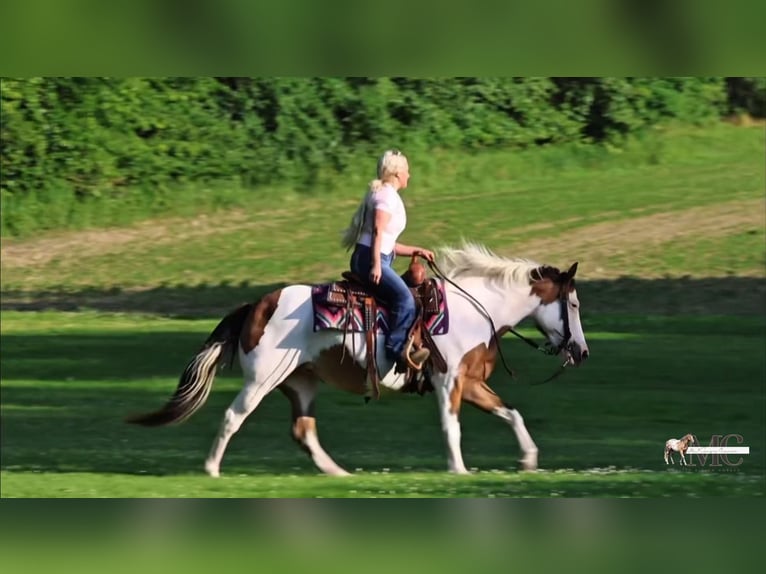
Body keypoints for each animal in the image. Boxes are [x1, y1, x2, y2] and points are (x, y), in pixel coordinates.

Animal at [127, 243, 589, 476]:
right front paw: (459, 471)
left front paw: (528, 460)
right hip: (260, 380)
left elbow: (511, 413)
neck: (475, 310)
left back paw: (339, 474)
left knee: (303, 430)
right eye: (574, 304)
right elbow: (452, 427)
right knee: (232, 417)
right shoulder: (450, 381)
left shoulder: (473, 383)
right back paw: (211, 470)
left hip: (301, 382)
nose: (582, 352)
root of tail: (256, 306)